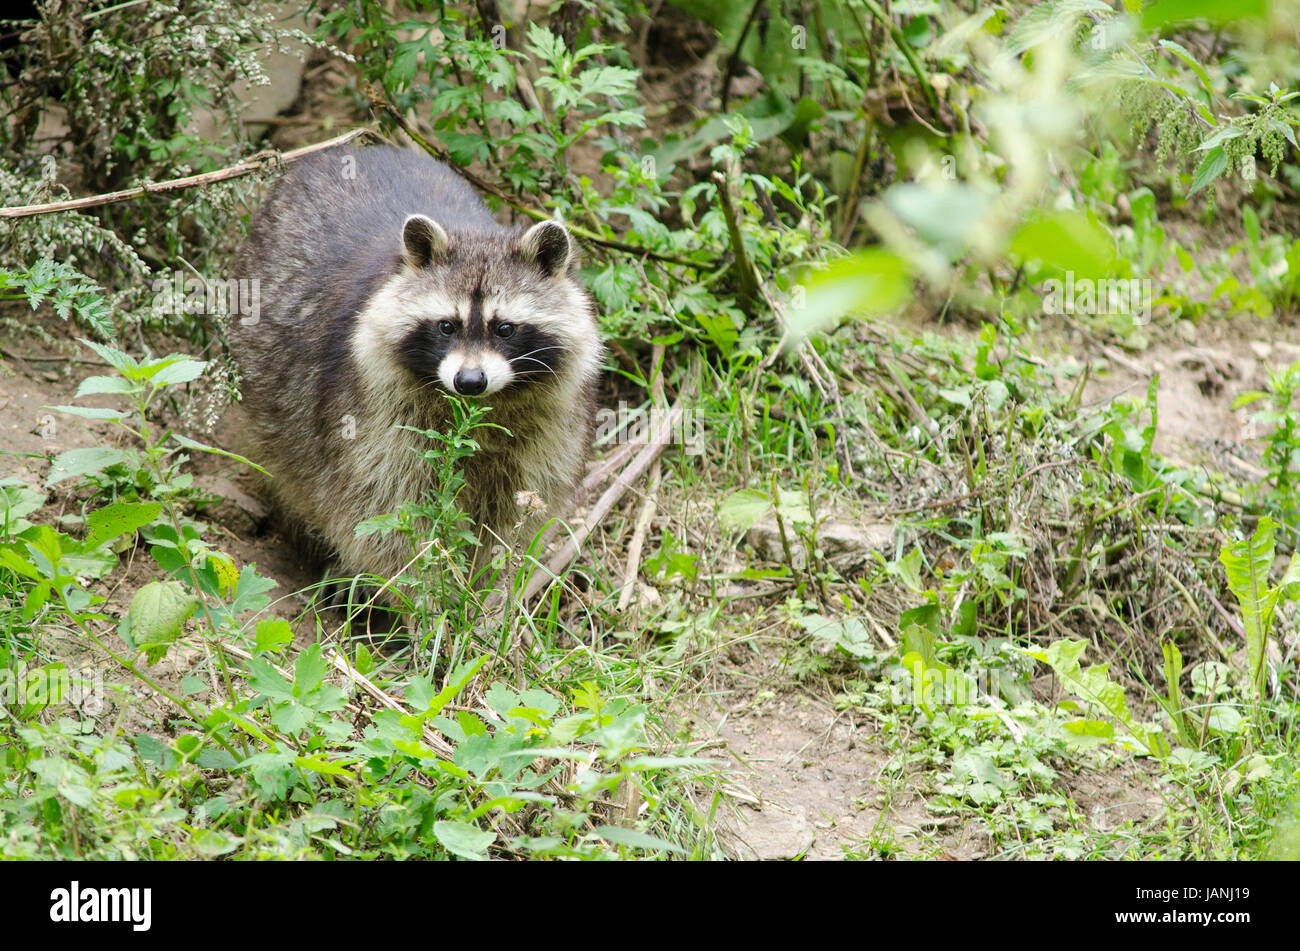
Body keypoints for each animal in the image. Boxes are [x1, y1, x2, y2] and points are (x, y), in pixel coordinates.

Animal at [230, 144, 602, 591]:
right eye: (446, 326)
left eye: (505, 329)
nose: (470, 381)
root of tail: (343, 150)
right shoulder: (371, 412)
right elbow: (385, 510)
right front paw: (427, 593)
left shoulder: (550, 422)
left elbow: (515, 514)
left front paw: (485, 590)